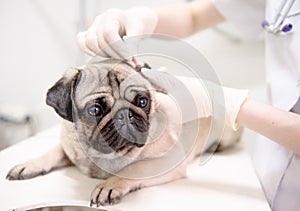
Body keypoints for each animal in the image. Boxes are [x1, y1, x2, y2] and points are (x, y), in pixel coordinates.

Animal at [5, 58, 240, 207]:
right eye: (95, 110)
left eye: (142, 101)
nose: (125, 115)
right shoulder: (69, 146)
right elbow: (53, 152)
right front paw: (29, 165)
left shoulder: (169, 160)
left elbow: (133, 169)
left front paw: (110, 185)